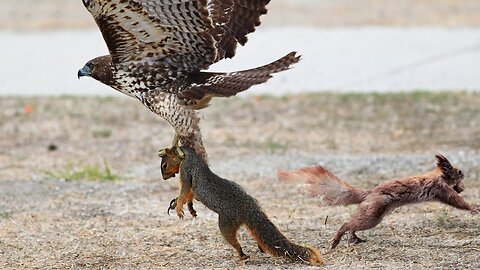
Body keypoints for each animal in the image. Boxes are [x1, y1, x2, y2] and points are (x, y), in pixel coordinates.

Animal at [159, 144, 324, 264]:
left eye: (164, 165)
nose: (164, 178)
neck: (189, 156)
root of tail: (249, 207)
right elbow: (188, 194)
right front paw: (180, 204)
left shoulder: (186, 171)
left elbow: (184, 190)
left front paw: (179, 208)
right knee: (259, 236)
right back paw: (260, 248)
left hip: (227, 223)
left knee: (233, 240)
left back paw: (242, 255)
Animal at [278, 155, 480, 250]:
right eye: (457, 170)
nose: (463, 174)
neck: (437, 176)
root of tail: (368, 194)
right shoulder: (440, 189)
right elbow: (456, 201)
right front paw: (473, 207)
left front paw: (462, 190)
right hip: (373, 213)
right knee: (348, 223)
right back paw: (337, 240)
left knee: (353, 225)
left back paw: (354, 239)